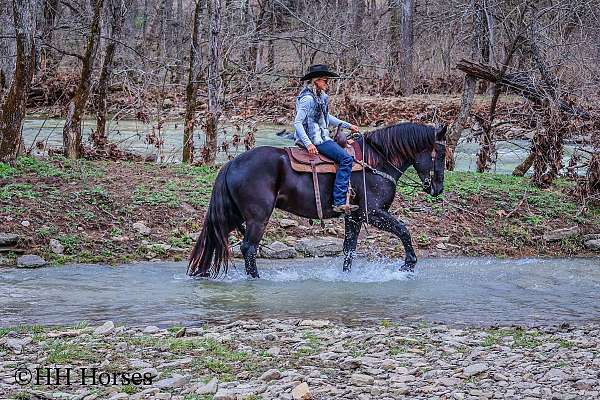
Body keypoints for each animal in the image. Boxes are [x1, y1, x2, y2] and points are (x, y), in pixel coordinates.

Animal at [188, 122, 446, 278]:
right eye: (441, 154)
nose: (438, 188)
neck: (376, 162)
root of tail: (231, 163)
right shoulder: (372, 213)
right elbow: (403, 230)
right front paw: (408, 264)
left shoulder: (353, 217)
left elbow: (349, 249)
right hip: (257, 217)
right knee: (248, 248)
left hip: (234, 214)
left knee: (214, 237)